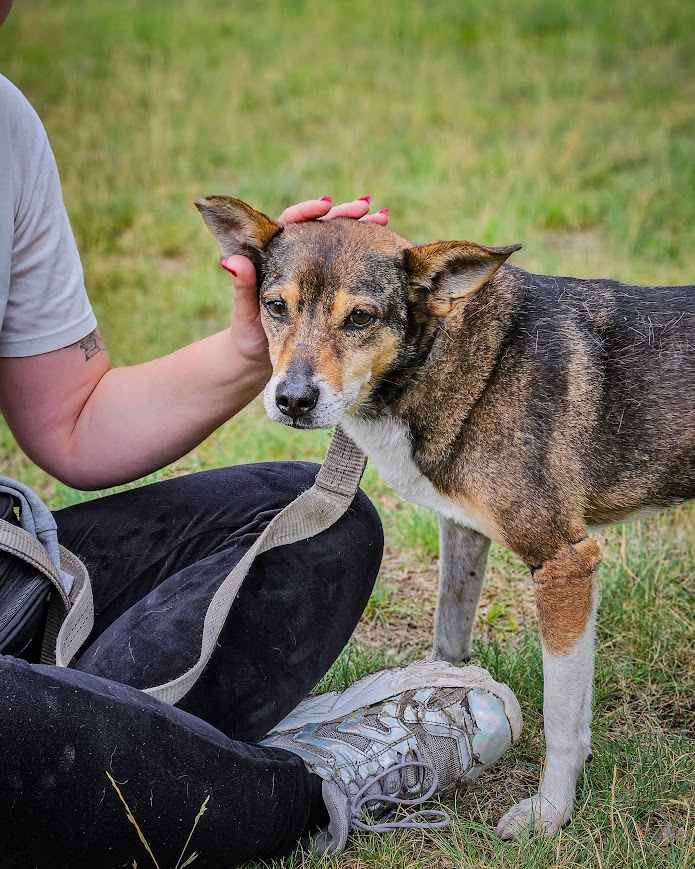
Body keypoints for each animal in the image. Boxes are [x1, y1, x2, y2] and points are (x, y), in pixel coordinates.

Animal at [196, 195, 695, 836]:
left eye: (359, 319)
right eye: (274, 306)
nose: (292, 400)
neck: (451, 357)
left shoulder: (564, 561)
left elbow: (563, 716)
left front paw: (550, 813)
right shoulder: (462, 532)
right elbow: (450, 631)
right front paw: (436, 696)